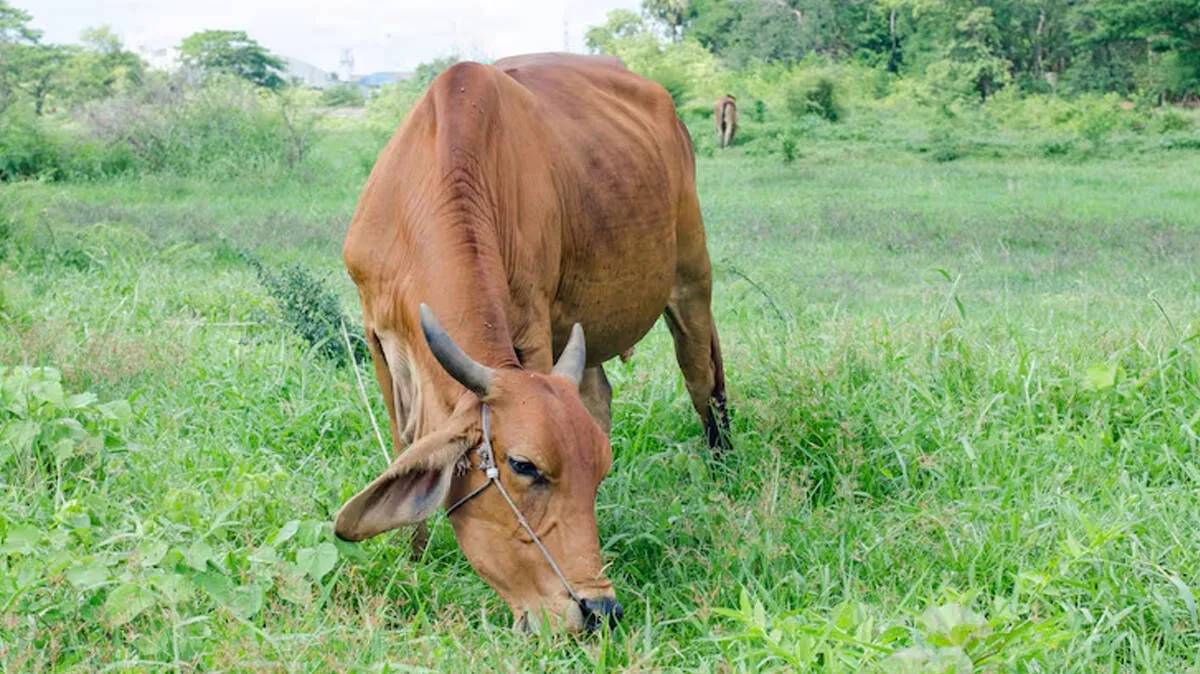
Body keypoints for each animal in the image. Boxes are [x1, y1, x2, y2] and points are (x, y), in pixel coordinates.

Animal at [333, 52, 731, 633]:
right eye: (524, 467)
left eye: (600, 470)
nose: (599, 611)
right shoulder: (378, 336)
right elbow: (406, 442)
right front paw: (415, 558)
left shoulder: (534, 326)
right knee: (600, 393)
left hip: (690, 278)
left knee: (704, 381)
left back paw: (725, 470)